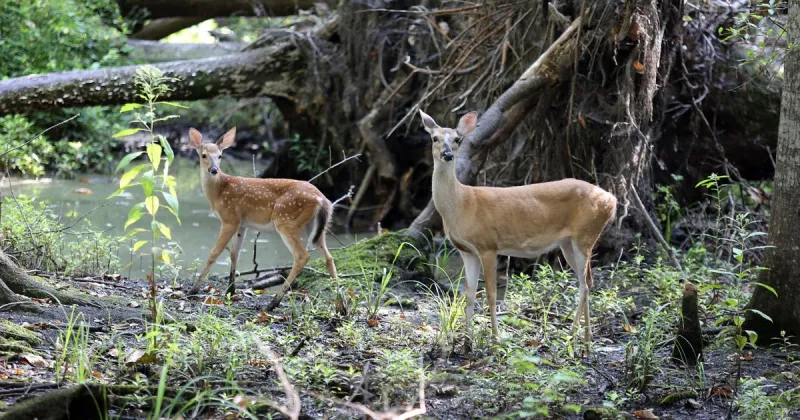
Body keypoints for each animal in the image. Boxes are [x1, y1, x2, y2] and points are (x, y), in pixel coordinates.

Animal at [187, 127, 338, 311]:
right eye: (204, 155)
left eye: (220, 156)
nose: (214, 170)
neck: (218, 191)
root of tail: (322, 199)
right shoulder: (242, 224)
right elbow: (234, 254)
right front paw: (230, 291)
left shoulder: (230, 218)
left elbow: (214, 253)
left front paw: (193, 290)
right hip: (314, 226)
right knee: (329, 257)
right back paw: (341, 305)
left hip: (286, 220)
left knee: (302, 256)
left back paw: (273, 303)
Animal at [419, 110, 617, 344]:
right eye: (434, 138)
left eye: (458, 139)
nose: (448, 154)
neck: (462, 203)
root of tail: (612, 200)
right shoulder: (467, 251)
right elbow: (469, 293)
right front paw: (468, 338)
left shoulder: (488, 245)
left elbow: (491, 294)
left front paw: (495, 338)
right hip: (569, 242)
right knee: (588, 280)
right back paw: (586, 336)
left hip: (585, 234)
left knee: (584, 285)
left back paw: (573, 332)